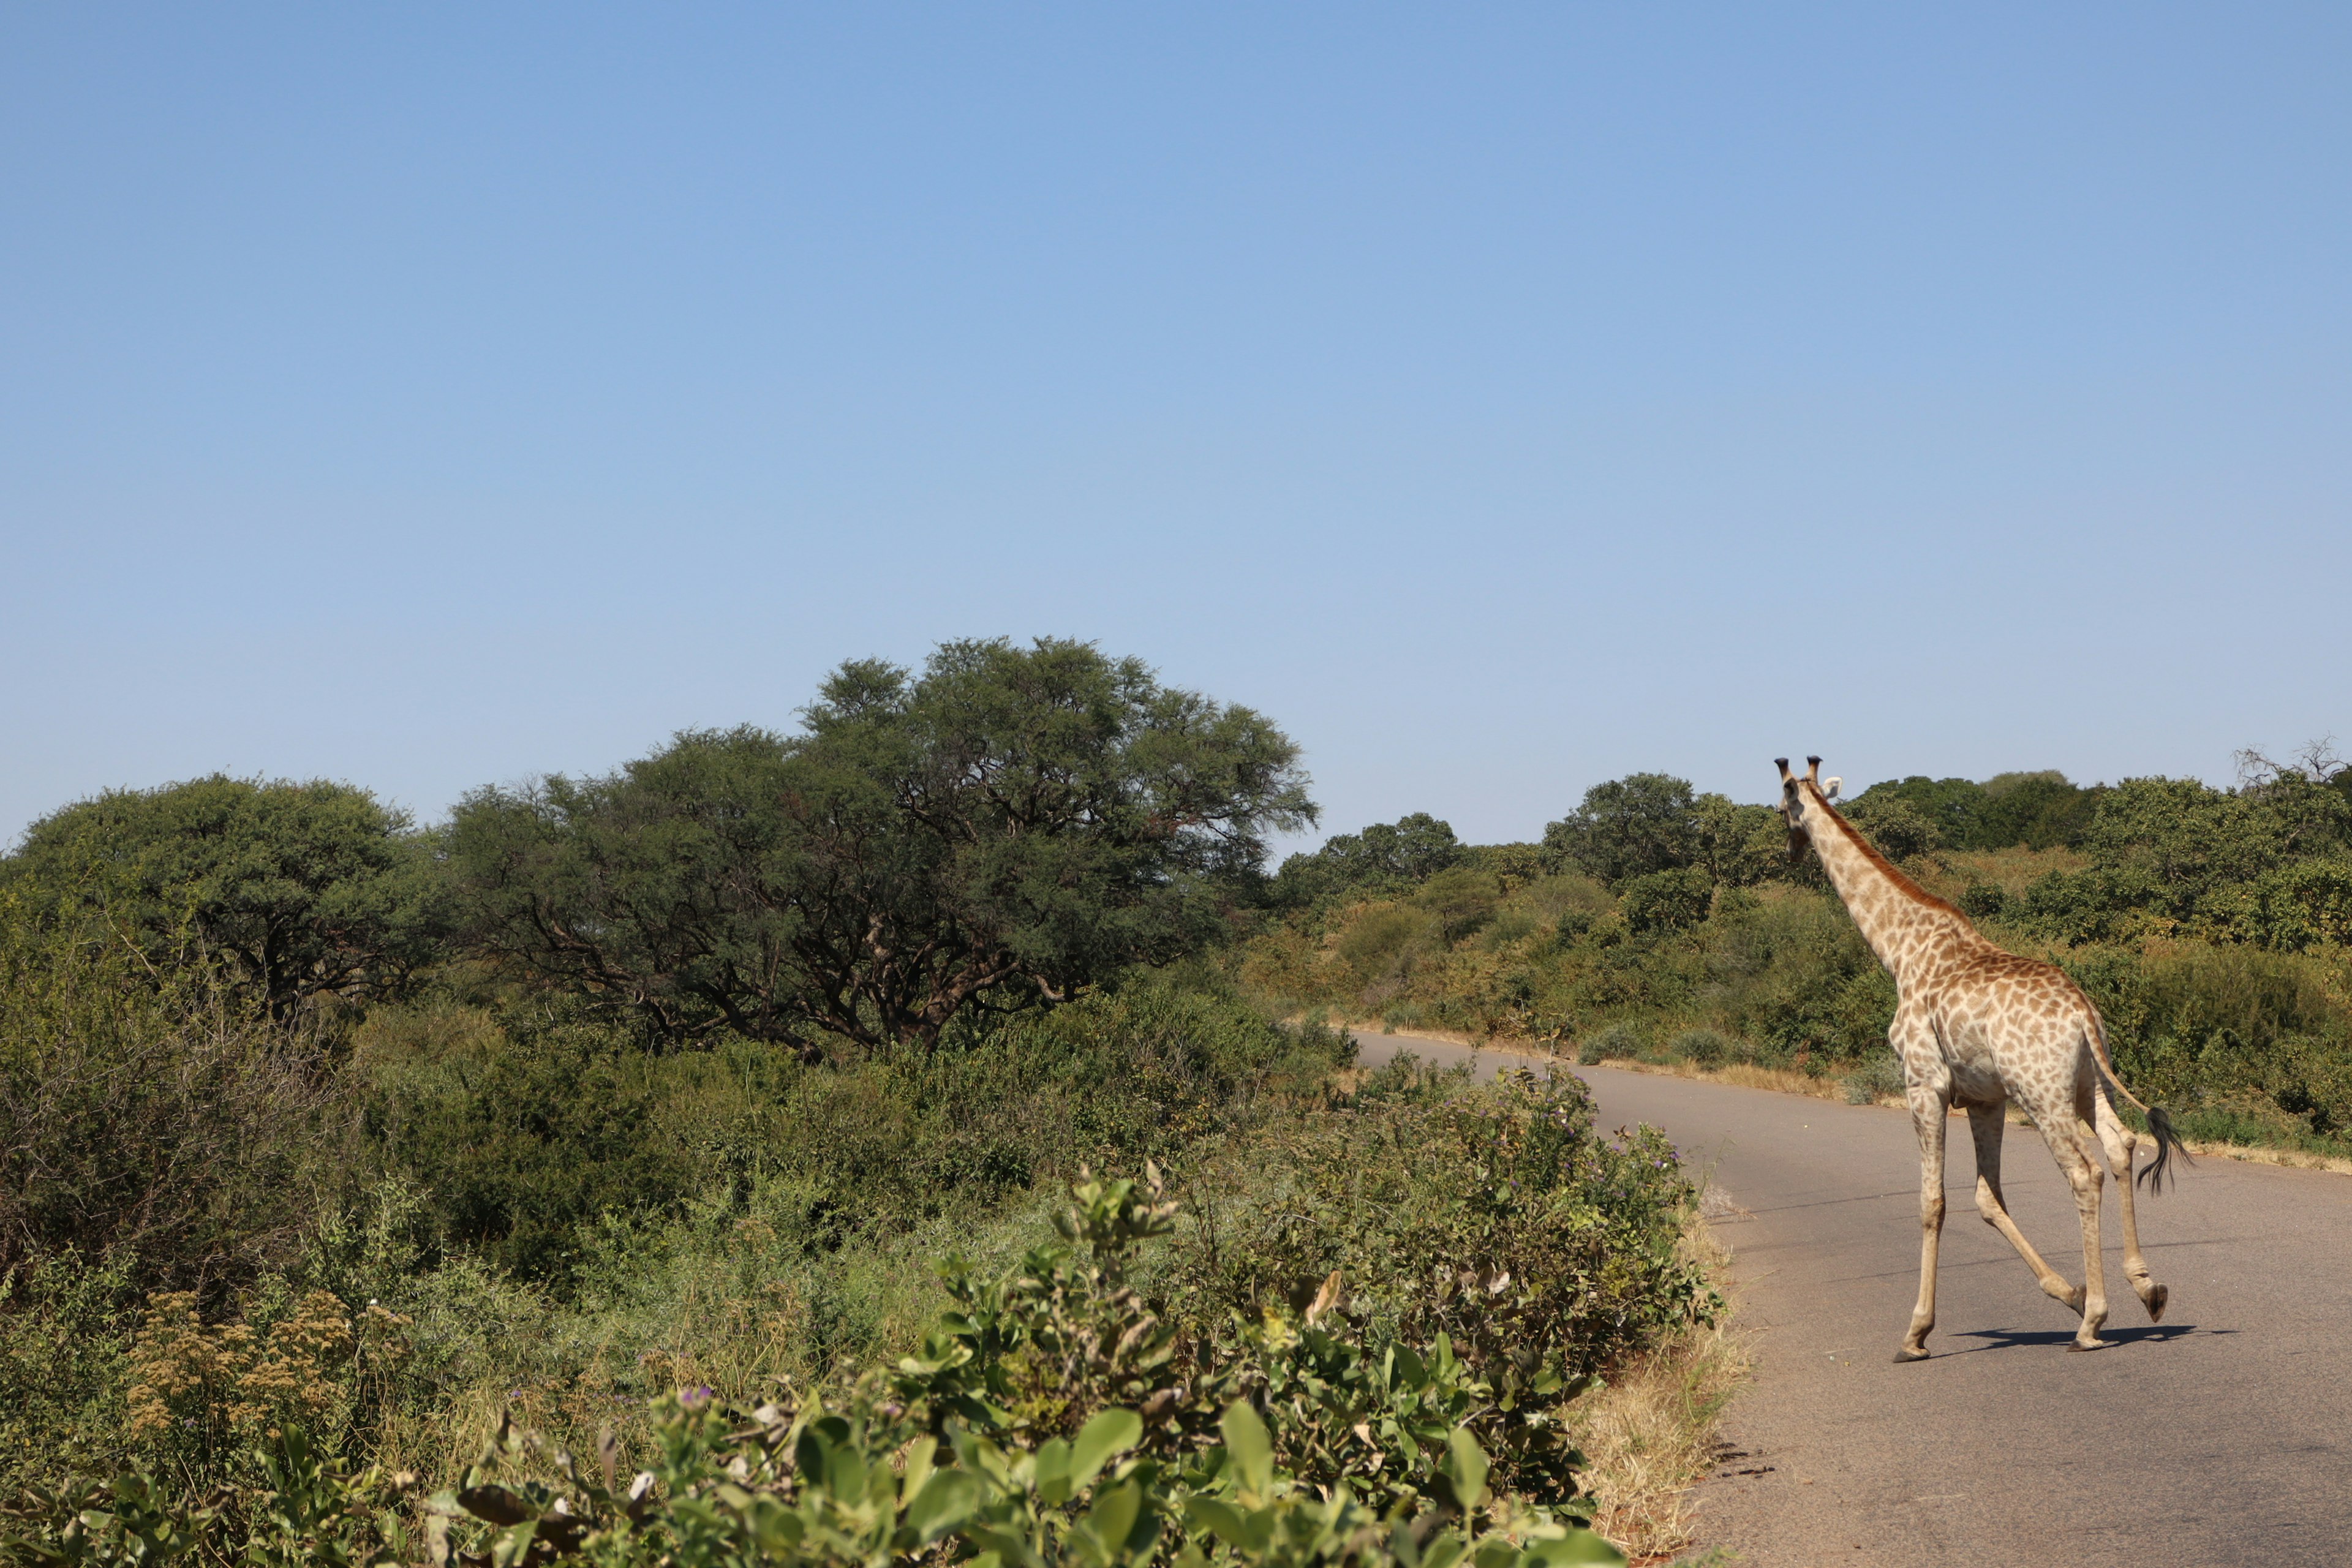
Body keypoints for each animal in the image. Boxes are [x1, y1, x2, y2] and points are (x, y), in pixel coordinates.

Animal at [1778, 752, 2182, 1354]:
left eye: (1780, 810)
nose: (1790, 850)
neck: (1898, 950)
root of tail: (2083, 1014)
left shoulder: (1924, 1084)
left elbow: (1933, 1202)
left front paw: (1917, 1332)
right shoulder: (1984, 1097)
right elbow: (1987, 1199)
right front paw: (2070, 1291)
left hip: (2041, 1094)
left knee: (2084, 1173)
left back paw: (2093, 1323)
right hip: (2087, 1084)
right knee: (2121, 1145)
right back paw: (2146, 1288)